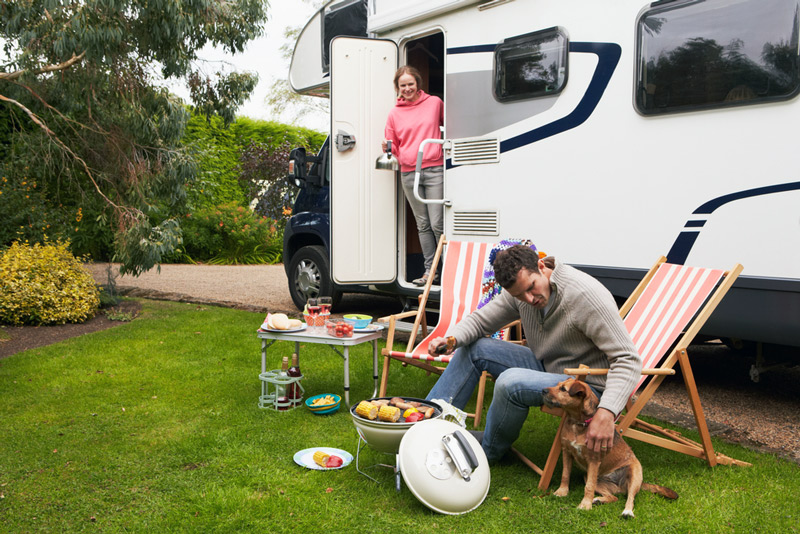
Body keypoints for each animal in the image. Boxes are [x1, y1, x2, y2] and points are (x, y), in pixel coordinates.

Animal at [540, 376, 680, 520]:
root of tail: (620, 485)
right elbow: (565, 474)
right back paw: (598, 500)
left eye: (563, 389)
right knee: (614, 497)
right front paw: (562, 492)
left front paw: (585, 505)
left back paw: (627, 512)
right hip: (591, 477)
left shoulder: (593, 460)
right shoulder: (567, 452)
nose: (543, 390)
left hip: (634, 476)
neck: (579, 423)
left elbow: (588, 487)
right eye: (557, 385)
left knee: (630, 498)